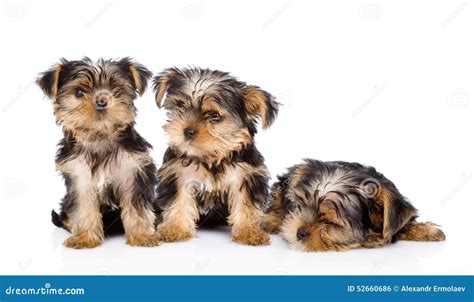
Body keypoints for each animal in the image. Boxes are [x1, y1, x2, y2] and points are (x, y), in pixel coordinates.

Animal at [36, 57, 159, 249]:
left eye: (116, 89)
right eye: (79, 92)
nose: (101, 102)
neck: (99, 138)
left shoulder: (134, 171)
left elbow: (137, 207)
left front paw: (142, 236)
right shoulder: (79, 177)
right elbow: (83, 207)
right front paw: (86, 237)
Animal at [153, 66, 278, 245]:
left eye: (215, 116)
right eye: (181, 105)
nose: (187, 131)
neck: (211, 157)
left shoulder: (245, 175)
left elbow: (245, 204)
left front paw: (248, 231)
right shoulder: (178, 174)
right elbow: (179, 200)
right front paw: (175, 228)